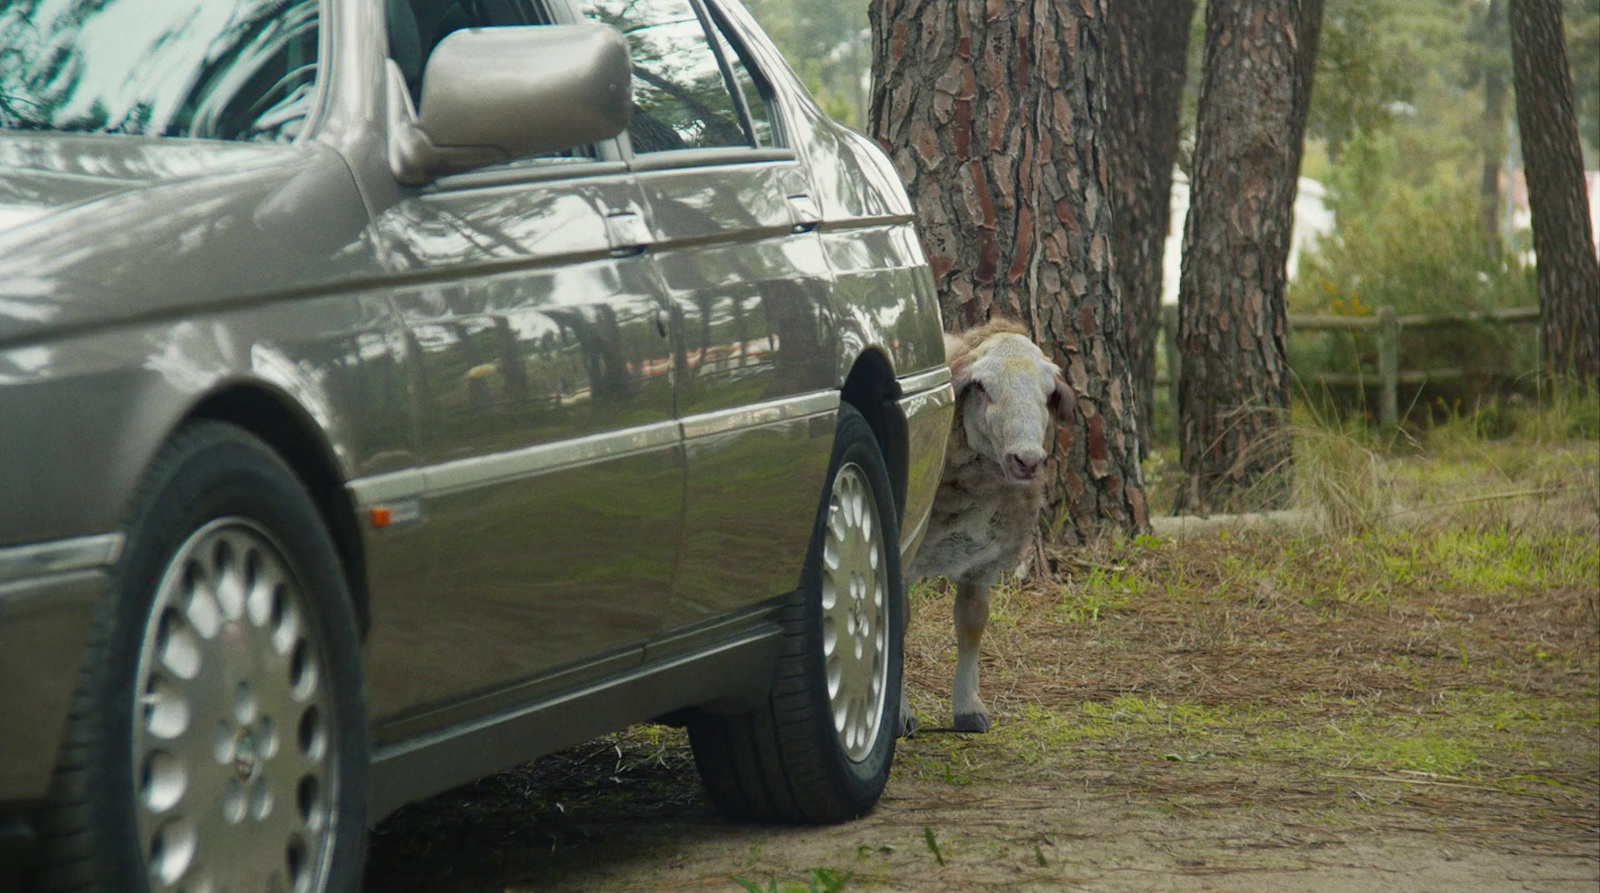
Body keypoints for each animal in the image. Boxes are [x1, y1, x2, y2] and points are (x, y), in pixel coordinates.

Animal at [908, 320, 1068, 736]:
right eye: (981, 387)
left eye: (1049, 393)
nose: (1027, 461)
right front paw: (899, 715)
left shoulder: (982, 561)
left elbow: (972, 624)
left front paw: (967, 707)